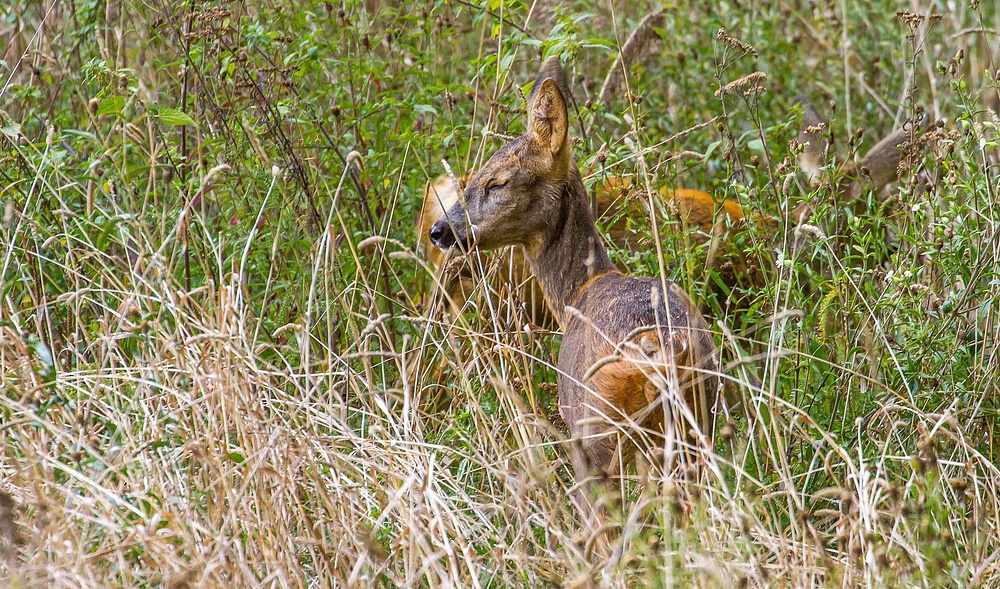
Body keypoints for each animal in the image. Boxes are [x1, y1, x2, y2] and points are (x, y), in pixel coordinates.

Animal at [426, 57, 724, 560]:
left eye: (497, 181)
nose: (441, 231)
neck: (576, 294)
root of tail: (659, 350)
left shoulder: (577, 434)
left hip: (599, 434)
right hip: (699, 424)